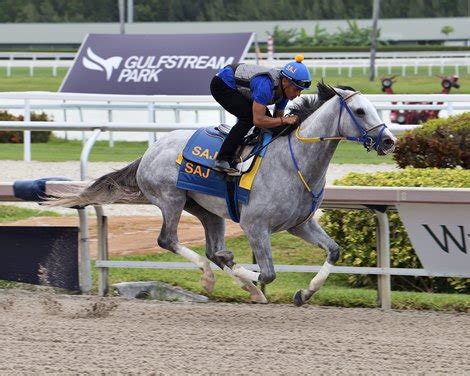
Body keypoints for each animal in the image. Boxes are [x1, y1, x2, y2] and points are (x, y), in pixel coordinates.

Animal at [52, 83, 396, 306]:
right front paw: (247, 276)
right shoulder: (255, 225)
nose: (389, 141)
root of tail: (151, 150)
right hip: (171, 199)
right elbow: (268, 272)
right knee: (169, 240)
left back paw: (240, 283)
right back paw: (210, 277)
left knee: (210, 248)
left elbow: (334, 251)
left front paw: (304, 293)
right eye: (360, 111)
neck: (295, 161)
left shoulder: (300, 224)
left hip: (206, 210)